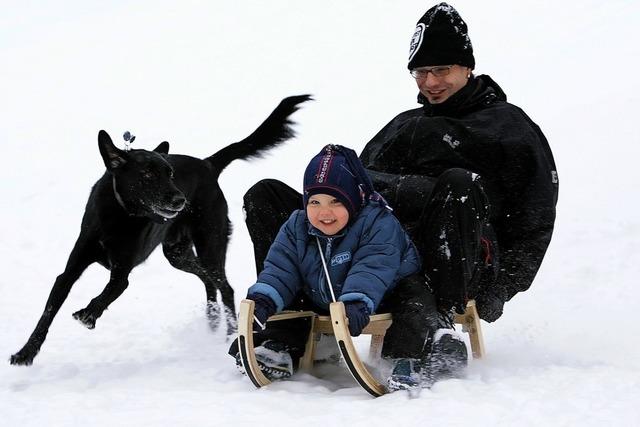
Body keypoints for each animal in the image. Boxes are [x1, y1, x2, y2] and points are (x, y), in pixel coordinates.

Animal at [9, 95, 310, 366]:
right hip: (177, 254)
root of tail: (207, 164)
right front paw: (25, 353)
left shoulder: (121, 275)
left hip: (210, 244)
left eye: (170, 173)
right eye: (147, 174)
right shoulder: (71, 270)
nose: (180, 201)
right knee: (207, 280)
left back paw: (229, 331)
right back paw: (212, 319)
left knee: (225, 285)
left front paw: (88, 315)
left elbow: (105, 293)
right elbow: (48, 312)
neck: (120, 214)